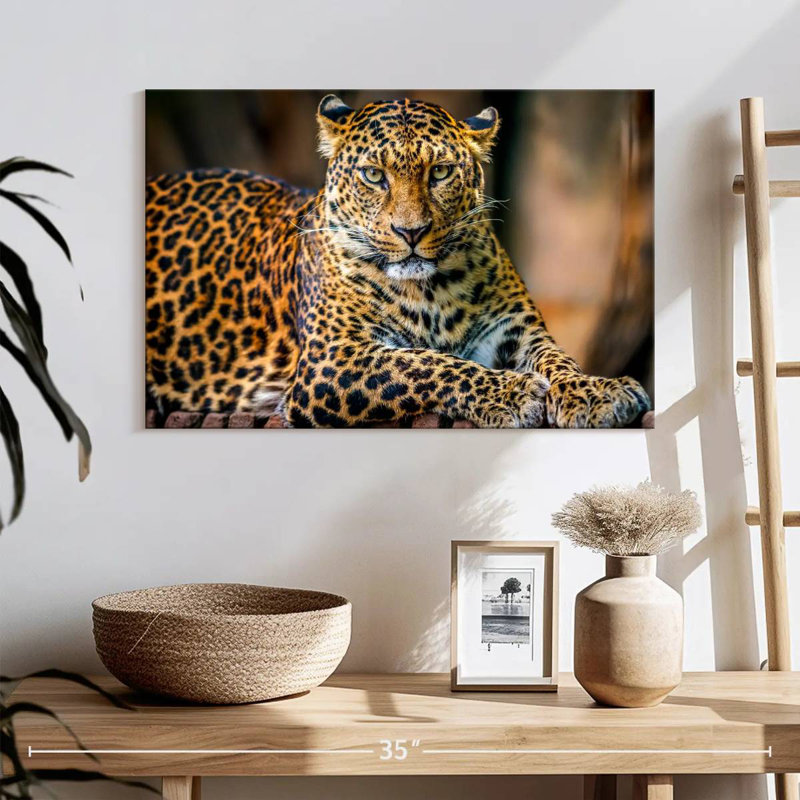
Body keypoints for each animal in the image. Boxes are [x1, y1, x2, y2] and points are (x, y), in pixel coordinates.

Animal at [145, 94, 651, 428]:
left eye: (440, 172)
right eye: (374, 175)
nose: (411, 232)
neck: (432, 290)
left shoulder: (516, 331)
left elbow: (558, 360)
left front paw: (597, 391)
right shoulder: (332, 361)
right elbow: (424, 364)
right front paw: (511, 392)